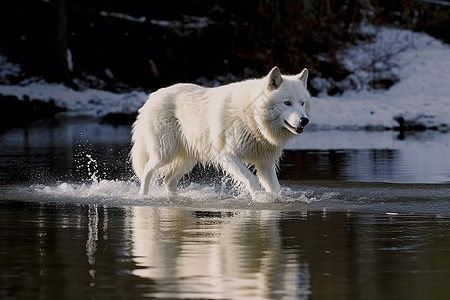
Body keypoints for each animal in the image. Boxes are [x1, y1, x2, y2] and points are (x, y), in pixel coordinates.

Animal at [132, 66, 312, 198]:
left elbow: (275, 188)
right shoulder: (227, 156)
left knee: (168, 180)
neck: (252, 118)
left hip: (188, 160)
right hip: (165, 153)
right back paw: (144, 196)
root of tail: (152, 97)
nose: (305, 120)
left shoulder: (265, 163)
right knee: (147, 170)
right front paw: (259, 198)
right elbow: (251, 179)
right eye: (287, 103)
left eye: (302, 103)